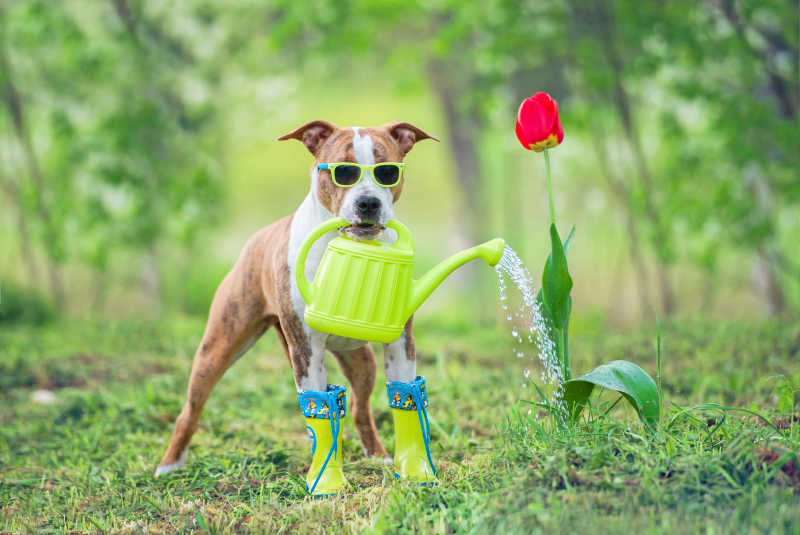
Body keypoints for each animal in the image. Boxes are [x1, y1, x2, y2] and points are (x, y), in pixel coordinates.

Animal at [155, 119, 438, 476]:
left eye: (387, 171)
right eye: (343, 171)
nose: (368, 203)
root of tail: (258, 238)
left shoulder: (400, 343)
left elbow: (404, 397)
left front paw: (410, 468)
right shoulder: (306, 350)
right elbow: (319, 408)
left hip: (361, 360)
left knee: (359, 407)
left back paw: (377, 455)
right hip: (217, 347)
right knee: (190, 410)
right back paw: (170, 464)